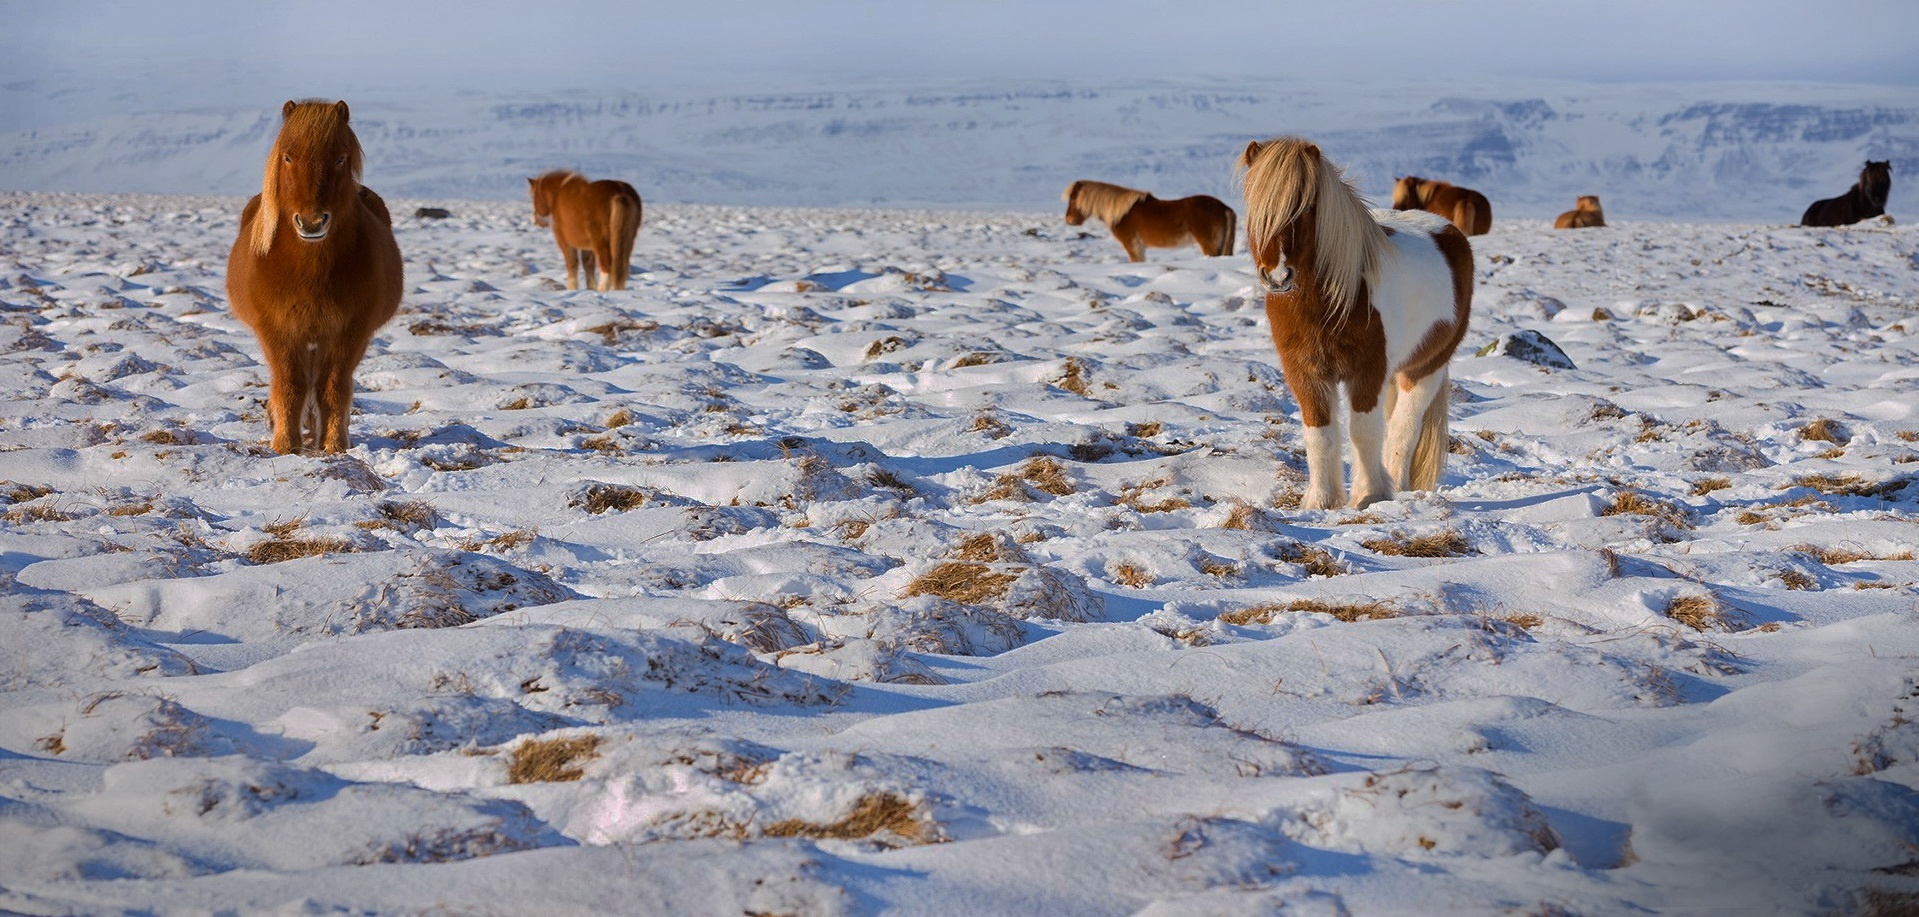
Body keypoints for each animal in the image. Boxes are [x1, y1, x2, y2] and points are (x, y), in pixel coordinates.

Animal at [224, 100, 401, 454]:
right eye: (289, 157)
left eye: (340, 158)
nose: (312, 222)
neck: (307, 269)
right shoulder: (277, 330)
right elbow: (289, 384)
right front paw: (284, 443)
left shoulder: (350, 331)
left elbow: (333, 386)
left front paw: (334, 443)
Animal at [1059, 180, 1235, 262]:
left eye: (1073, 198)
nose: (1069, 220)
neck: (1122, 213)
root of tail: (1225, 208)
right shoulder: (1140, 247)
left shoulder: (1132, 246)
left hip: (1209, 245)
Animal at [1235, 138, 1473, 510]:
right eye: (1255, 205)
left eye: (1307, 206)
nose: (1278, 276)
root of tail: (1447, 228)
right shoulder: (1306, 373)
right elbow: (1319, 434)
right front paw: (1320, 501)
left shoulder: (1367, 372)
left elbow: (1363, 433)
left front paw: (1369, 496)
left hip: (1425, 368)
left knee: (1403, 429)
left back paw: (1397, 486)